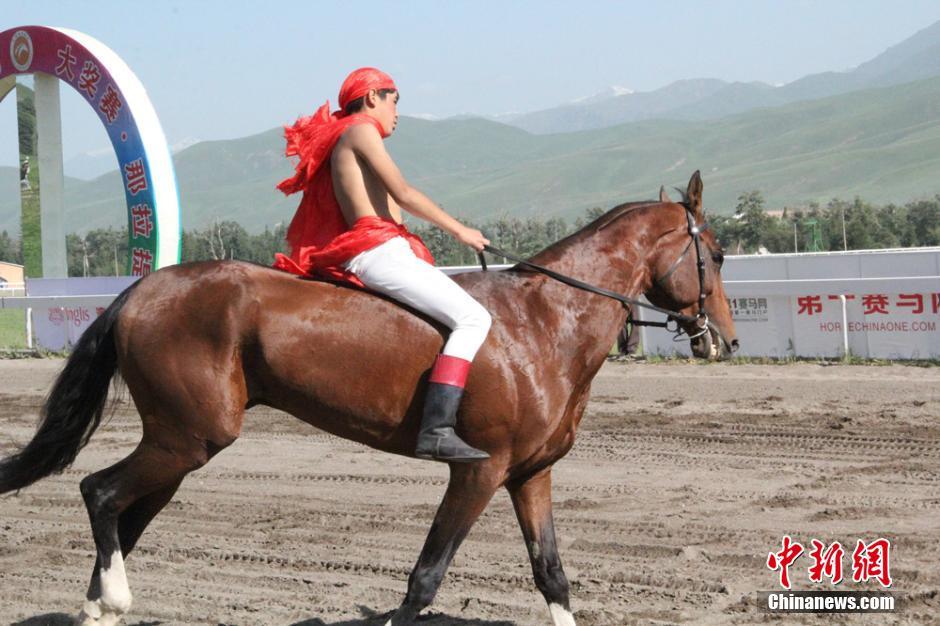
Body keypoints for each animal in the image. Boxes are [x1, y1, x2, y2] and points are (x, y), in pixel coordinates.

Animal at [0, 170, 737, 626]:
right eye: (720, 255)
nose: (725, 339)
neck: (543, 321)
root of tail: (141, 291)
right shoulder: (478, 471)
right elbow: (426, 576)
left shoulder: (531, 474)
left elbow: (551, 573)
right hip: (188, 438)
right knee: (99, 492)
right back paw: (114, 596)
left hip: (180, 446)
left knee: (124, 515)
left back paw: (99, 604)